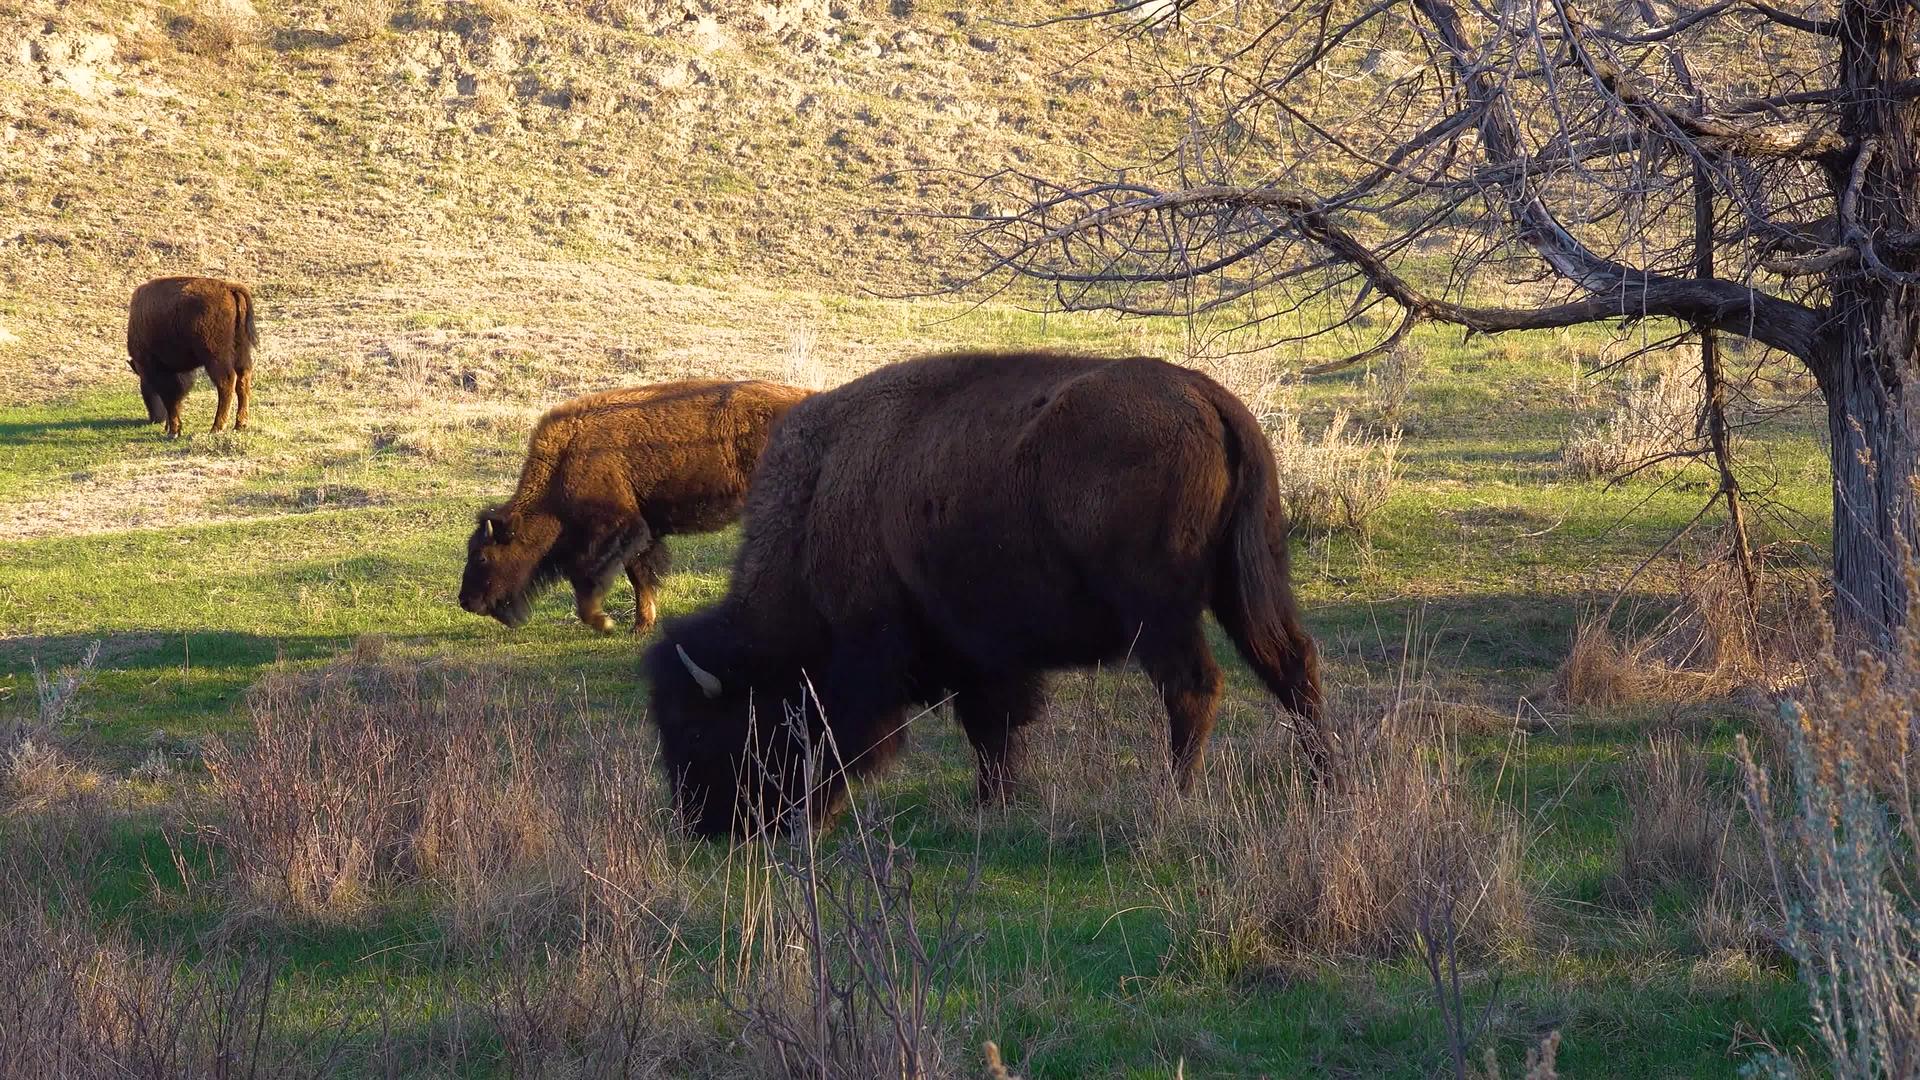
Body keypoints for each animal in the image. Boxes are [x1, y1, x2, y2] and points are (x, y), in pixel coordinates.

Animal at [126, 272, 255, 438]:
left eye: (146, 384)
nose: (155, 419)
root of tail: (229, 287)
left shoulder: (160, 370)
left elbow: (170, 398)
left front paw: (173, 431)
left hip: (215, 356)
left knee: (226, 382)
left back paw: (216, 428)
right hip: (241, 353)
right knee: (243, 381)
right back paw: (240, 425)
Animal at [464, 378, 817, 630]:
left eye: (482, 556)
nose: (466, 601)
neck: (566, 461)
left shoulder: (616, 529)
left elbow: (587, 580)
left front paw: (605, 622)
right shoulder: (645, 532)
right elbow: (641, 578)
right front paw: (642, 625)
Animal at [645, 349, 1320, 837]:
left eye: (701, 729)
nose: (703, 825)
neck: (819, 503)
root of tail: (1211, 400)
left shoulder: (900, 649)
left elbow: (970, 729)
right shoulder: (985, 659)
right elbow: (993, 733)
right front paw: (995, 803)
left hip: (1159, 612)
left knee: (1194, 686)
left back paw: (1173, 796)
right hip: (1247, 586)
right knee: (1291, 665)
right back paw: (1321, 780)